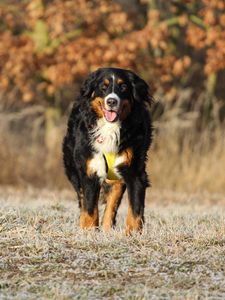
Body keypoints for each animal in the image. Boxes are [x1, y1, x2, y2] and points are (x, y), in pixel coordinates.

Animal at [62, 68, 152, 234]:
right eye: (103, 87)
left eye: (123, 87)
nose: (111, 101)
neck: (110, 128)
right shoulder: (90, 169)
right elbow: (90, 208)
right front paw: (88, 232)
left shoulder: (135, 171)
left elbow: (135, 209)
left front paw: (133, 234)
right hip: (73, 168)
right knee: (82, 198)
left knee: (112, 202)